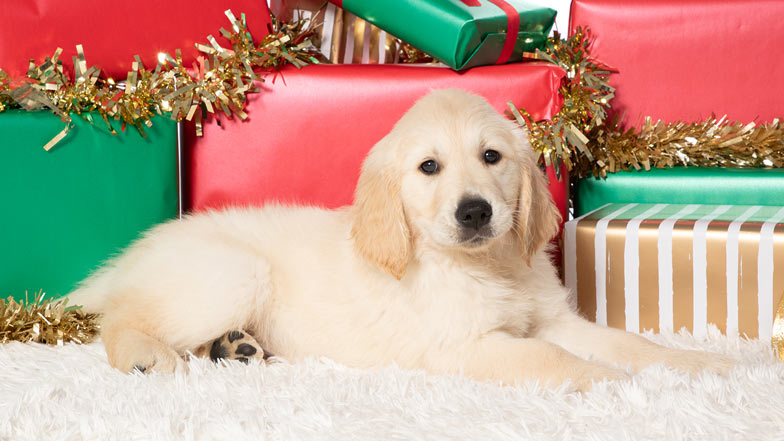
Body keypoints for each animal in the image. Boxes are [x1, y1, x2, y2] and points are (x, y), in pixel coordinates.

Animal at [69, 88, 736, 388]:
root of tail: (134, 255)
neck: (483, 266)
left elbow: (621, 341)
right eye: (428, 168)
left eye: (491, 157)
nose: (475, 212)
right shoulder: (459, 347)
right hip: (231, 274)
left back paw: (234, 348)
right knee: (119, 320)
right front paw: (619, 384)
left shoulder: (550, 318)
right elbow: (556, 360)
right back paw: (147, 355)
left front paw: (693, 364)